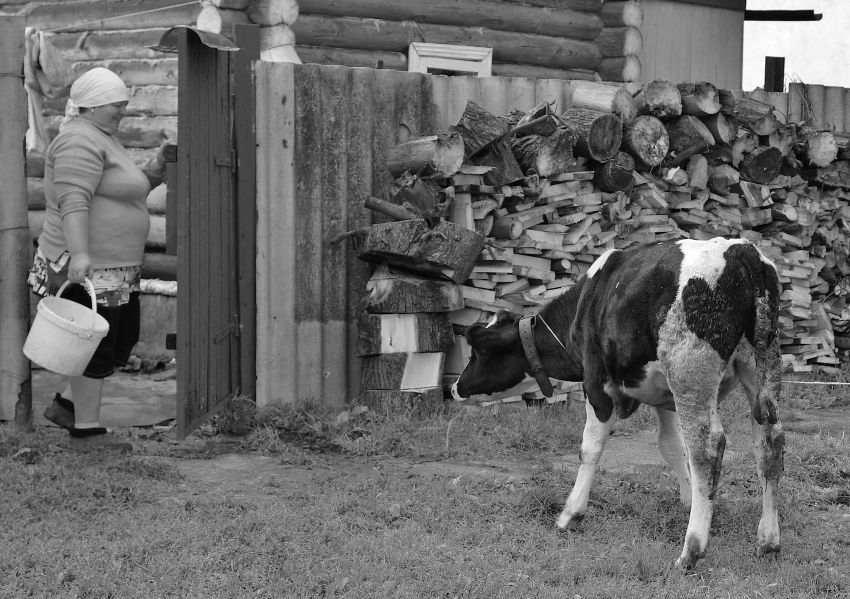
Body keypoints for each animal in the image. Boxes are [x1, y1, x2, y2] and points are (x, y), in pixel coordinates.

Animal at [450, 237, 780, 568]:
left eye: (479, 351)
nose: (455, 388)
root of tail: (741, 250)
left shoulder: (597, 382)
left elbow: (590, 448)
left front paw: (570, 514)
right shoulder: (662, 395)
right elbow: (671, 446)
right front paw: (689, 501)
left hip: (689, 375)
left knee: (707, 448)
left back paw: (691, 550)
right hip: (761, 369)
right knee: (770, 444)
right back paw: (768, 541)